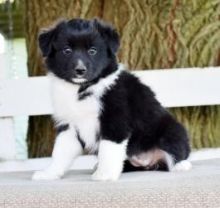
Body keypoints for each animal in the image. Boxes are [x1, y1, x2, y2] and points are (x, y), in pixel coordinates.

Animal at [32, 18, 191, 180]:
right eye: (67, 50)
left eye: (92, 51)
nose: (80, 70)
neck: (82, 88)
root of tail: (147, 162)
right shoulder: (68, 124)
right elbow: (60, 152)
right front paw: (49, 173)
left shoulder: (115, 121)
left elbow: (108, 149)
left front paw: (105, 174)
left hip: (173, 130)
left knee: (176, 152)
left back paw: (181, 165)